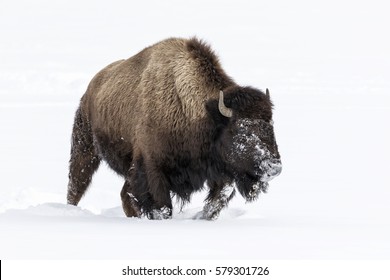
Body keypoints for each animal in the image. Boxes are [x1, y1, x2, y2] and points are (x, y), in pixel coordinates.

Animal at [66, 37, 280, 221]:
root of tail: (91, 87)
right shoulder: (152, 168)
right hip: (85, 149)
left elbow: (216, 202)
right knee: (76, 186)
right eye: (241, 131)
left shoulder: (220, 170)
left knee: (124, 195)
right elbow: (162, 207)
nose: (274, 167)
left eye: (271, 126)